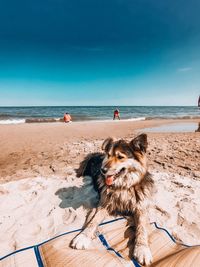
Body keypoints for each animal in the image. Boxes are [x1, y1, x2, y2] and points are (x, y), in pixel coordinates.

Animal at [71, 134, 154, 266]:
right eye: (109, 155)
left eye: (120, 157)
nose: (102, 170)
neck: (123, 186)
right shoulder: (103, 205)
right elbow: (93, 221)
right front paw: (83, 236)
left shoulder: (141, 208)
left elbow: (142, 228)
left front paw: (142, 249)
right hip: (85, 164)